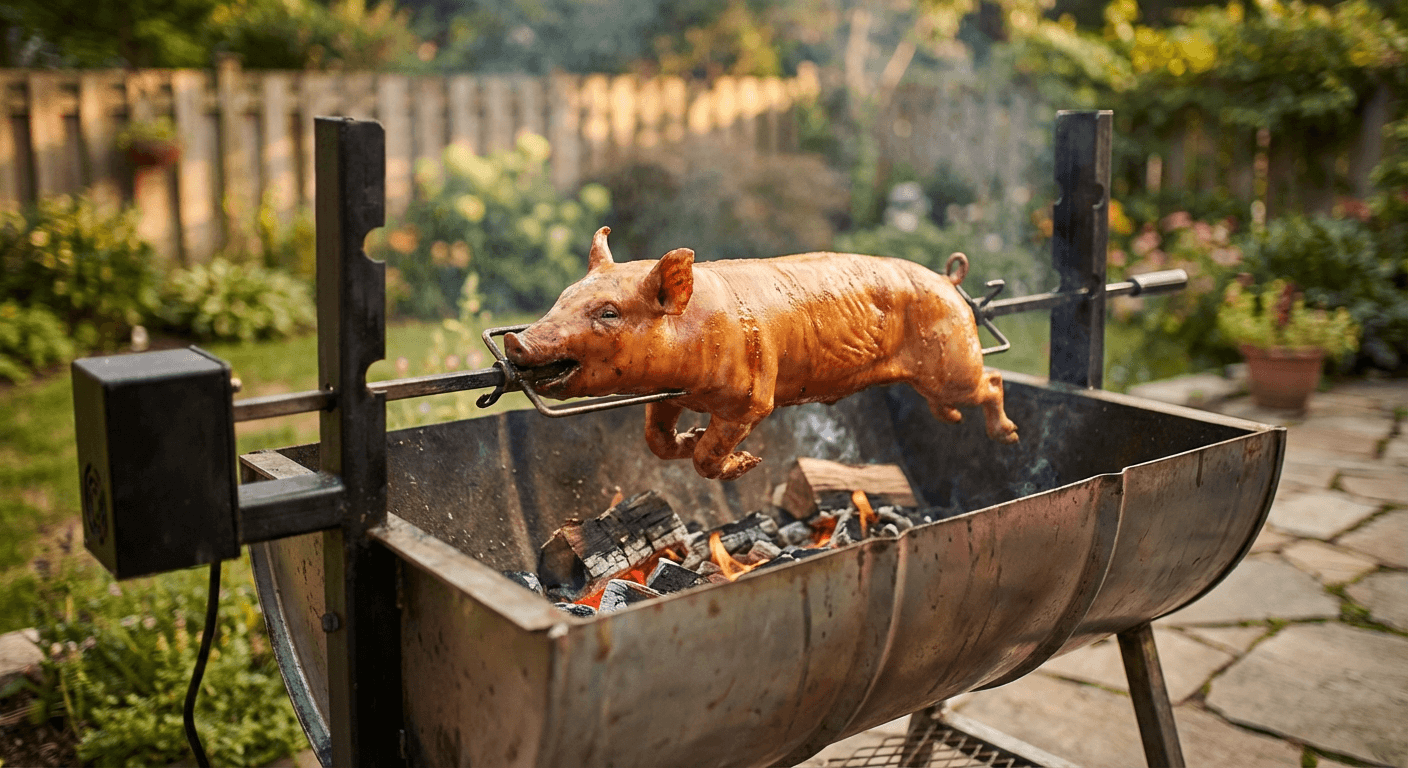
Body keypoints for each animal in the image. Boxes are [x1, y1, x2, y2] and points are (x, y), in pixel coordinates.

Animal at [504, 227, 1018, 481]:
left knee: (992, 381)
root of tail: (950, 282)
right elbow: (656, 441)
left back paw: (1009, 436)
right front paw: (690, 435)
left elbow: (708, 456)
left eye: (609, 313)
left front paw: (748, 463)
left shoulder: (751, 400)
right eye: (563, 295)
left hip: (953, 360)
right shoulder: (667, 394)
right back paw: (953, 420)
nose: (516, 342)